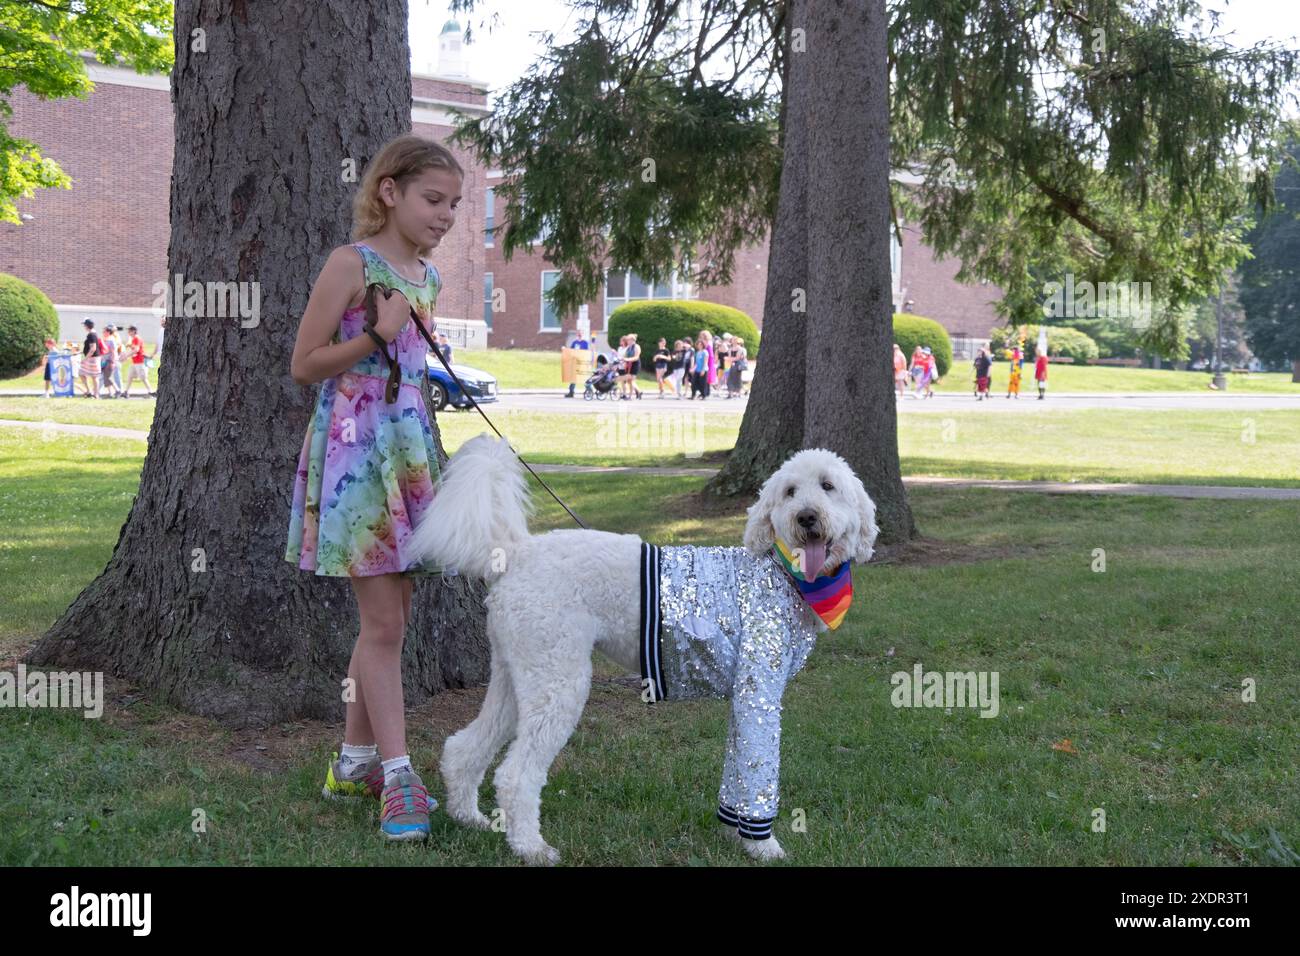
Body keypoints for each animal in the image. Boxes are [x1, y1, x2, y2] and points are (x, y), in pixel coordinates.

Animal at [410, 434, 878, 868]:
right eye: (790, 491)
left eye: (828, 486)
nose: (806, 517)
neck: (782, 572)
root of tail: (517, 551)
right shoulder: (759, 692)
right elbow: (759, 772)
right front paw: (763, 846)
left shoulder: (746, 701)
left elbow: (738, 768)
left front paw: (734, 832)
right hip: (558, 680)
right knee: (515, 774)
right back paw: (530, 847)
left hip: (516, 674)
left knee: (464, 747)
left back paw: (469, 817)